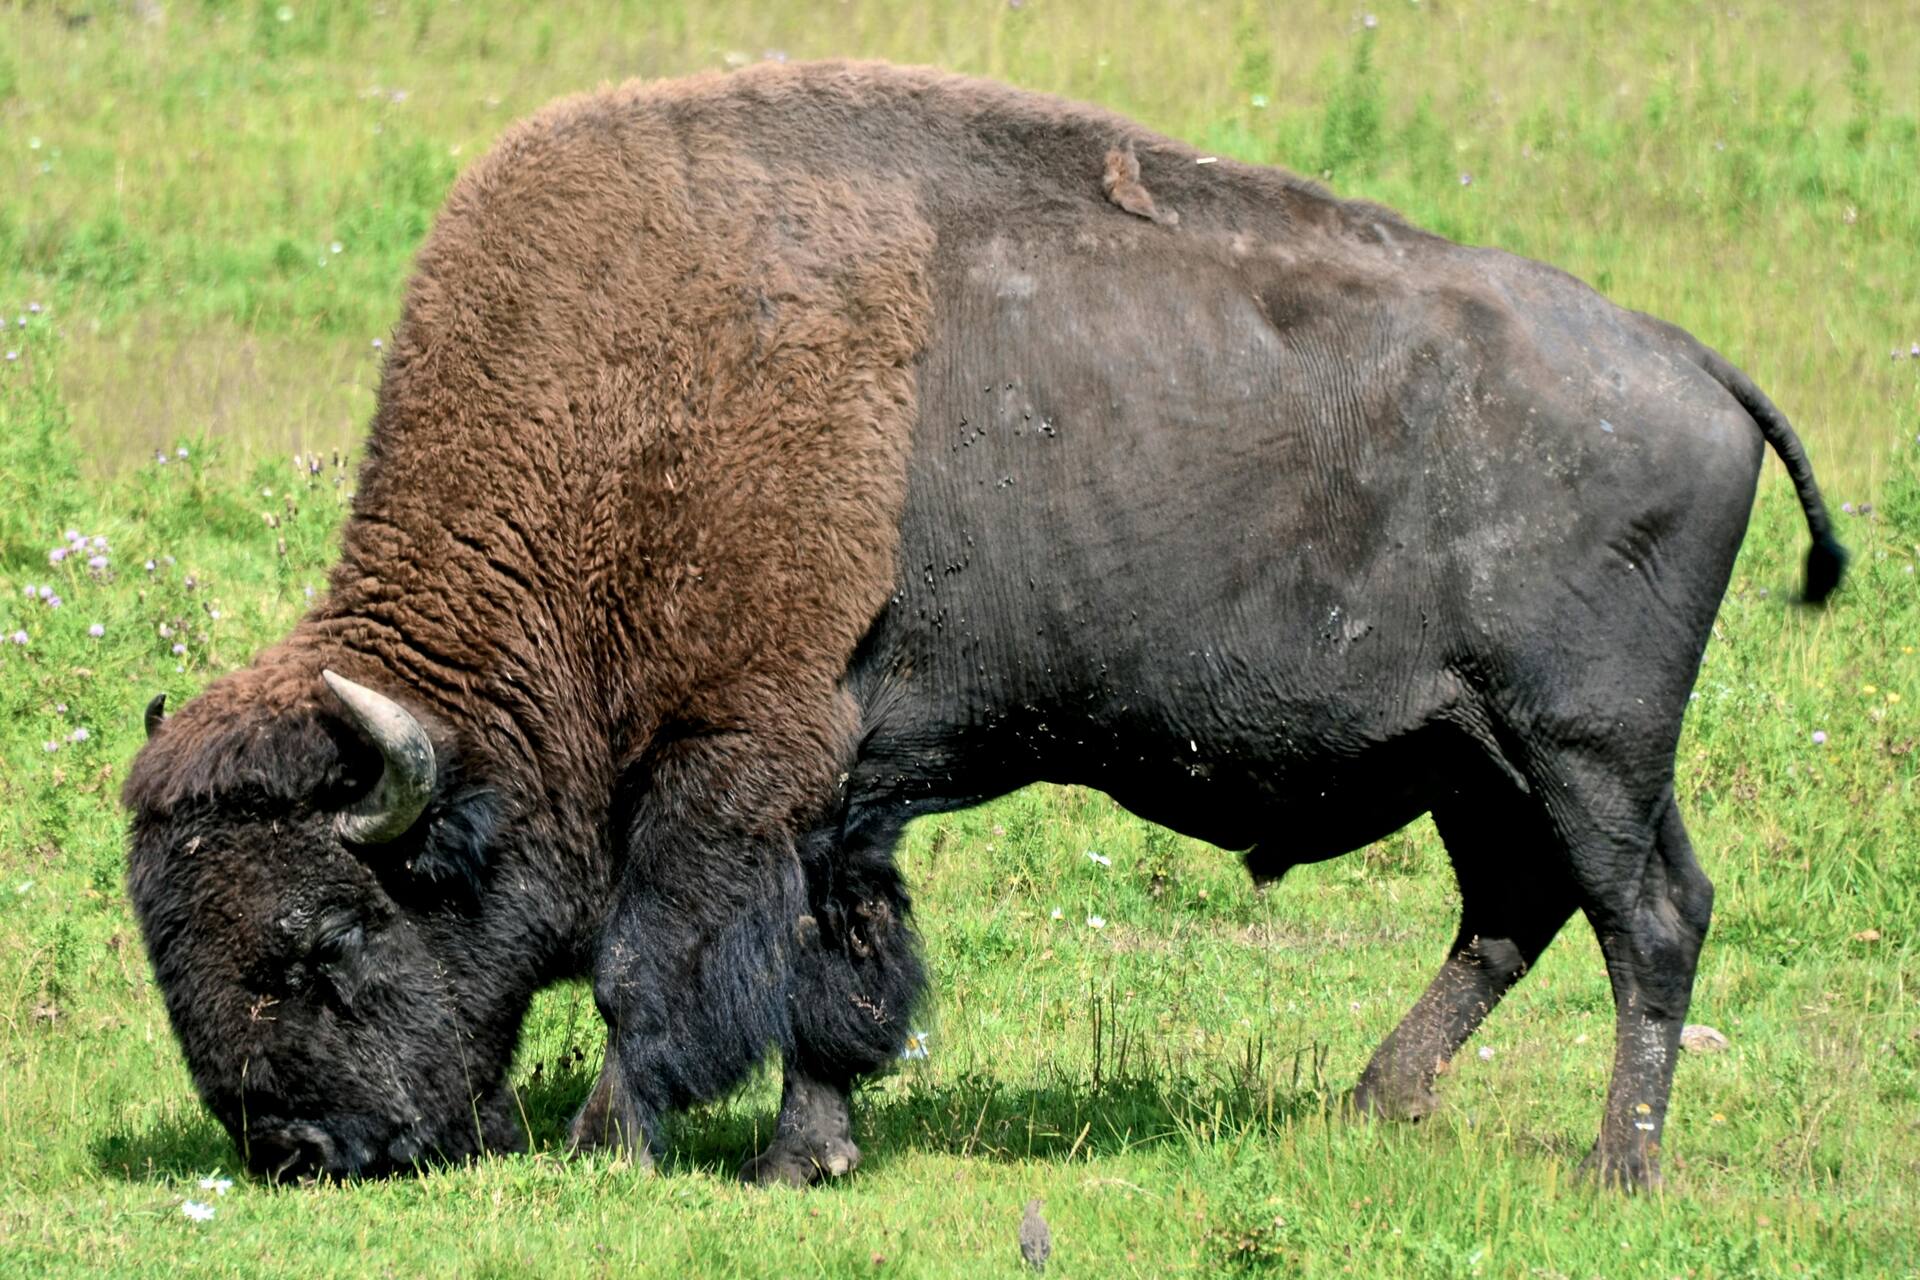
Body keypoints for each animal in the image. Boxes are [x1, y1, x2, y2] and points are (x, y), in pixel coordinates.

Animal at [125, 61, 1844, 1191]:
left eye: (321, 943)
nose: (294, 1153)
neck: (626, 422)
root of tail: (1691, 361)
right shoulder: (844, 791)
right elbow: (838, 969)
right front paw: (808, 1157)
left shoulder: (741, 764)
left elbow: (663, 965)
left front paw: (621, 1148)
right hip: (1482, 758)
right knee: (1525, 909)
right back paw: (1374, 1107)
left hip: (1581, 748)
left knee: (1646, 922)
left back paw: (1614, 1172)